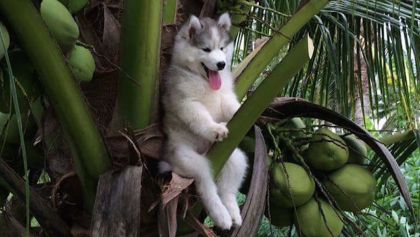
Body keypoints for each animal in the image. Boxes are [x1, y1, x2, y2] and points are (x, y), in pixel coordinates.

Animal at [160, 13, 246, 230]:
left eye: (222, 48)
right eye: (206, 49)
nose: (221, 64)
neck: (204, 82)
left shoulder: (225, 98)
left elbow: (232, 108)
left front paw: (242, 109)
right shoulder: (186, 103)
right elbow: (200, 117)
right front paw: (215, 128)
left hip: (235, 158)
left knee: (228, 188)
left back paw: (233, 213)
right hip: (188, 159)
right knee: (206, 185)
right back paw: (221, 215)